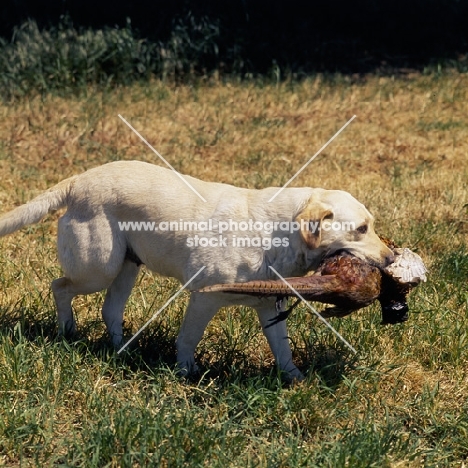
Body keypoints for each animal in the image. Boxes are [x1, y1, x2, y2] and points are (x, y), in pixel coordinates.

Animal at [0, 161, 394, 380]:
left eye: (372, 225)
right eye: (361, 229)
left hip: (127, 267)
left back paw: (121, 350)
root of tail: (79, 180)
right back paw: (68, 332)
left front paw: (295, 379)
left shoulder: (270, 307)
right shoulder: (203, 299)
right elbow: (188, 339)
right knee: (60, 286)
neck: (274, 233)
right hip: (98, 267)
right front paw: (184, 374)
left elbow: (283, 350)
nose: (392, 259)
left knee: (109, 310)